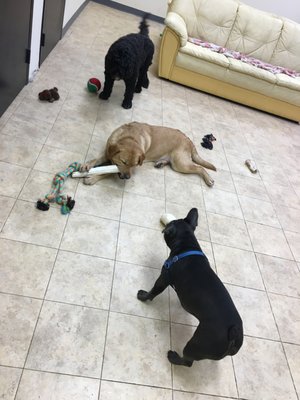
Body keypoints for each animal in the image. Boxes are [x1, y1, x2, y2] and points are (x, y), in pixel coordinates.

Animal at [81, 121, 217, 187]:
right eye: (124, 161)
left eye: (134, 165)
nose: (127, 177)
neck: (129, 137)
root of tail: (189, 140)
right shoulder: (107, 152)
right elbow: (95, 159)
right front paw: (86, 165)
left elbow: (107, 173)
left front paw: (92, 178)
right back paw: (161, 163)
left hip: (180, 164)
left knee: (200, 168)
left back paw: (209, 180)